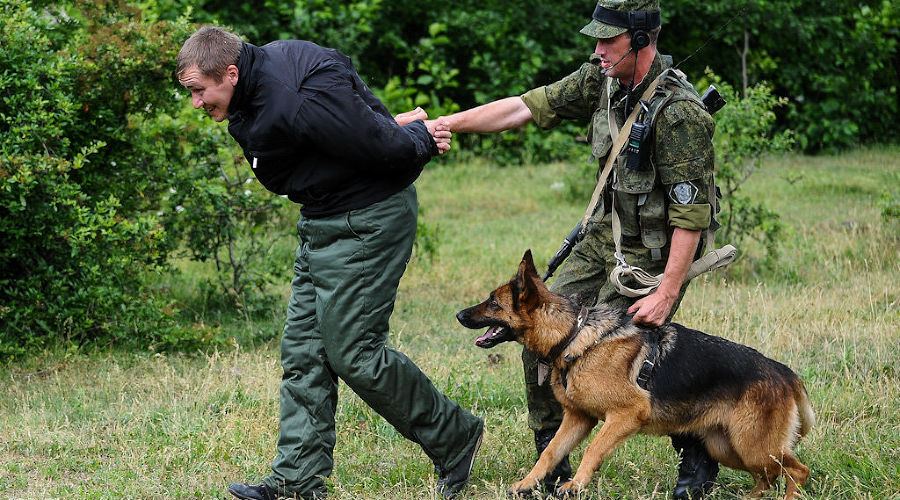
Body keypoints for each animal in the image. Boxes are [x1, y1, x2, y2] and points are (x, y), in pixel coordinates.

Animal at [458, 252, 816, 498]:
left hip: (753, 446)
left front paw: (575, 484)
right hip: (728, 447)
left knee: (797, 471)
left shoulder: (626, 415)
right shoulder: (578, 418)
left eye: (492, 303)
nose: (459, 315)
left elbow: (593, 450)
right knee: (766, 478)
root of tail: (785, 373)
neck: (573, 336)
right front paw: (527, 484)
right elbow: (550, 452)